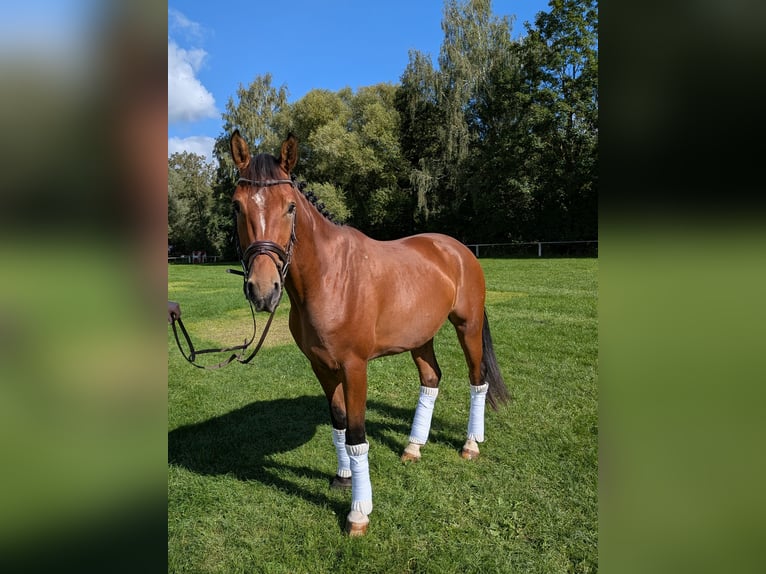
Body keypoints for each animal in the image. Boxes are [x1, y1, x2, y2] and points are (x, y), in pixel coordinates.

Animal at [229, 130, 509, 536]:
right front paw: (343, 478)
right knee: (431, 380)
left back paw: (471, 444)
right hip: (420, 338)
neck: (329, 276)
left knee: (477, 380)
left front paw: (358, 513)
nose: (263, 291)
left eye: (290, 207)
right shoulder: (322, 367)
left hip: (467, 327)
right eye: (237, 207)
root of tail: (458, 250)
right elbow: (339, 423)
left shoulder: (354, 367)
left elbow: (358, 434)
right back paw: (413, 447)